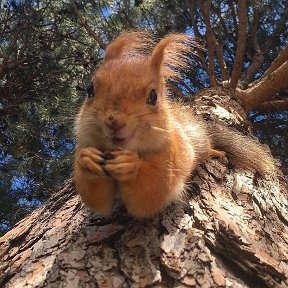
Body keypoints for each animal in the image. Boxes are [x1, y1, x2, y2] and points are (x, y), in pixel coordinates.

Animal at [72, 30, 274, 217]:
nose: (113, 121)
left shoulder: (171, 156)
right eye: (90, 90)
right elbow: (97, 200)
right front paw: (86, 160)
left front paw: (132, 165)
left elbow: (151, 192)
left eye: (153, 96)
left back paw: (215, 152)